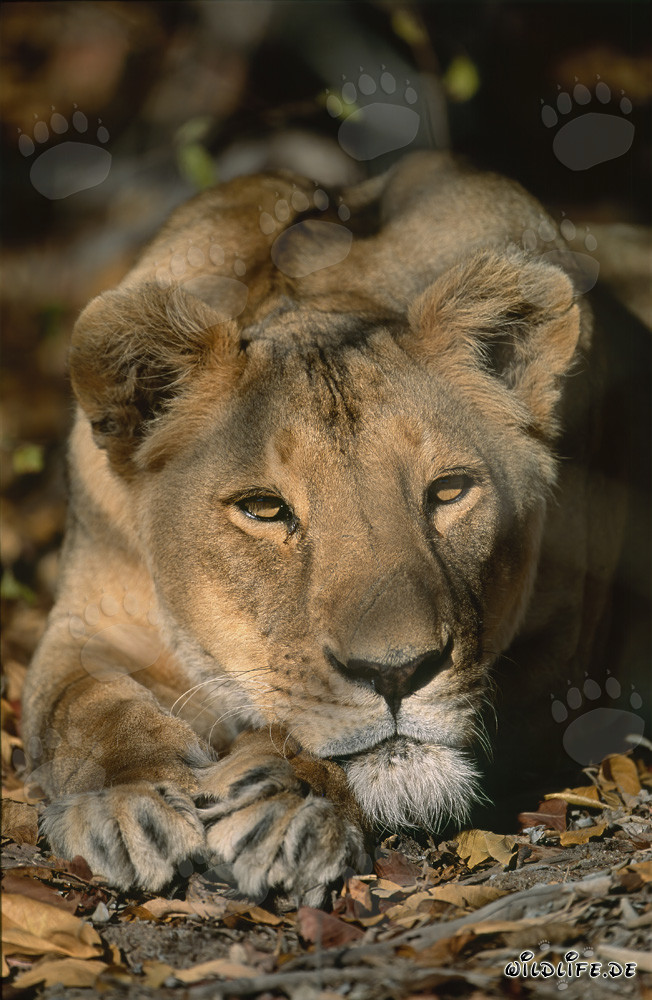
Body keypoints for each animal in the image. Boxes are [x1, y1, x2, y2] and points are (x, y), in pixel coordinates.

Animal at [22, 152, 649, 904]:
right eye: (265, 510)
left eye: (448, 492)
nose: (397, 673)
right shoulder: (88, 622)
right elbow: (82, 708)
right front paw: (128, 802)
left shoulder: (567, 654)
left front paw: (287, 799)